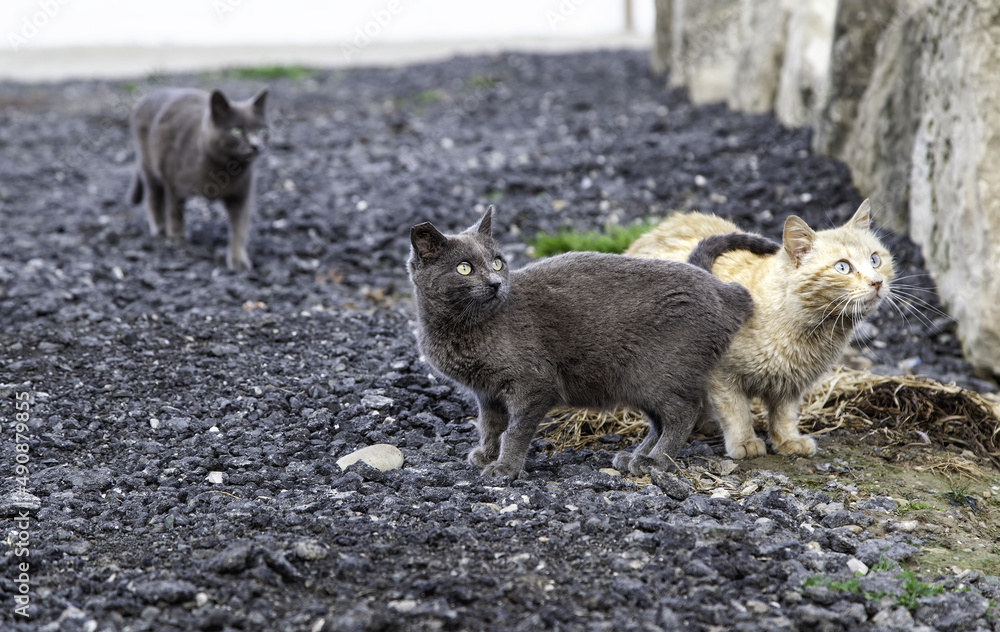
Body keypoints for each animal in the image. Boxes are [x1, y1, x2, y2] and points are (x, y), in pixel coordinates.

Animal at [129, 86, 270, 270]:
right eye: (237, 130)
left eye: (261, 130)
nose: (256, 145)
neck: (224, 169)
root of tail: (146, 98)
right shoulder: (172, 181)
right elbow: (175, 210)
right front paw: (177, 237)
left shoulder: (242, 195)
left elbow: (239, 228)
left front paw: (238, 260)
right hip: (150, 166)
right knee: (153, 197)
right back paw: (159, 228)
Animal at [408, 207, 780, 478]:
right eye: (465, 268)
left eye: (498, 262)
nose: (496, 283)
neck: (462, 326)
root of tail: (721, 288)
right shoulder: (487, 392)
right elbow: (490, 426)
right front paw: (486, 455)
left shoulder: (534, 383)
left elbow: (514, 431)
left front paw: (505, 468)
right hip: (638, 380)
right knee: (661, 419)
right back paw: (636, 457)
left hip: (658, 371)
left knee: (683, 412)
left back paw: (656, 461)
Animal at [628, 201, 896, 460]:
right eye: (843, 267)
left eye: (875, 259)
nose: (877, 282)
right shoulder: (722, 375)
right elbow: (735, 411)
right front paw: (744, 442)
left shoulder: (792, 384)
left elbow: (783, 414)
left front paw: (787, 441)